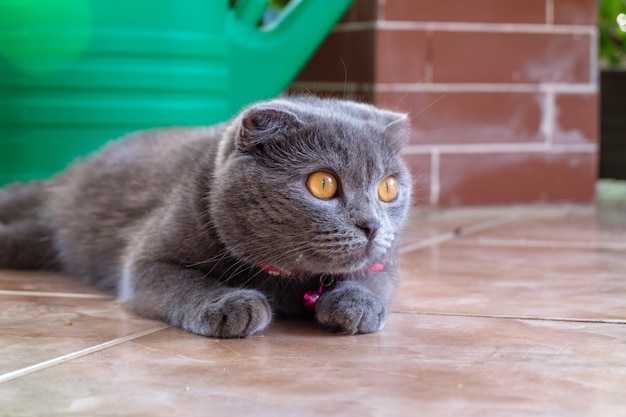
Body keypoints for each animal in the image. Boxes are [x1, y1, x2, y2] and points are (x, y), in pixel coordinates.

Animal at [1, 96, 414, 336]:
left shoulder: (389, 261)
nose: (372, 225)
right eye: (323, 184)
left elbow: (375, 279)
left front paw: (357, 304)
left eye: (388, 188)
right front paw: (230, 305)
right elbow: (181, 282)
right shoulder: (146, 262)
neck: (287, 281)